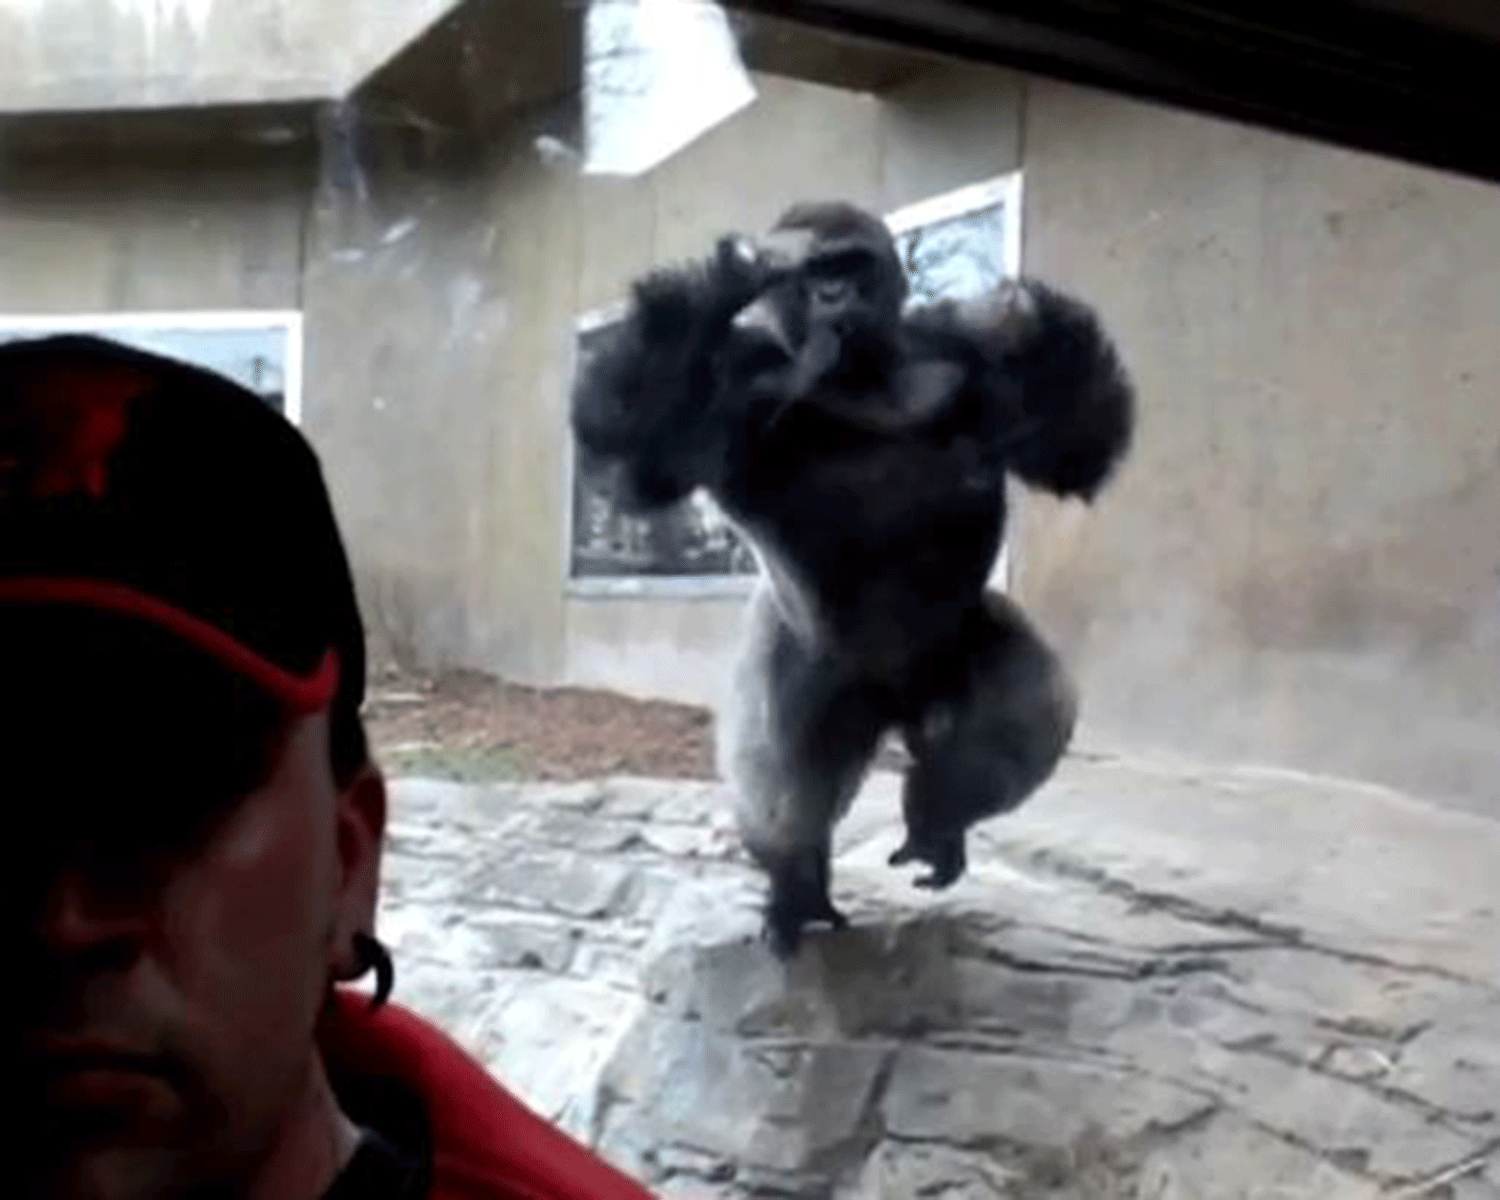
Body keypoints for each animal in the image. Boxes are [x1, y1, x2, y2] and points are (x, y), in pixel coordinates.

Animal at [567, 204, 1128, 954]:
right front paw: (720, 281)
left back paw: (939, 816)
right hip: (811, 663)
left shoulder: (957, 350)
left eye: (852, 266)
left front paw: (1033, 324)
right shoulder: (739, 374)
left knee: (1027, 706)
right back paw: (796, 882)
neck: (869, 374)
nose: (835, 298)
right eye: (814, 276)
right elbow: (641, 455)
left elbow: (1075, 442)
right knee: (781, 775)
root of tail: (896, 705)